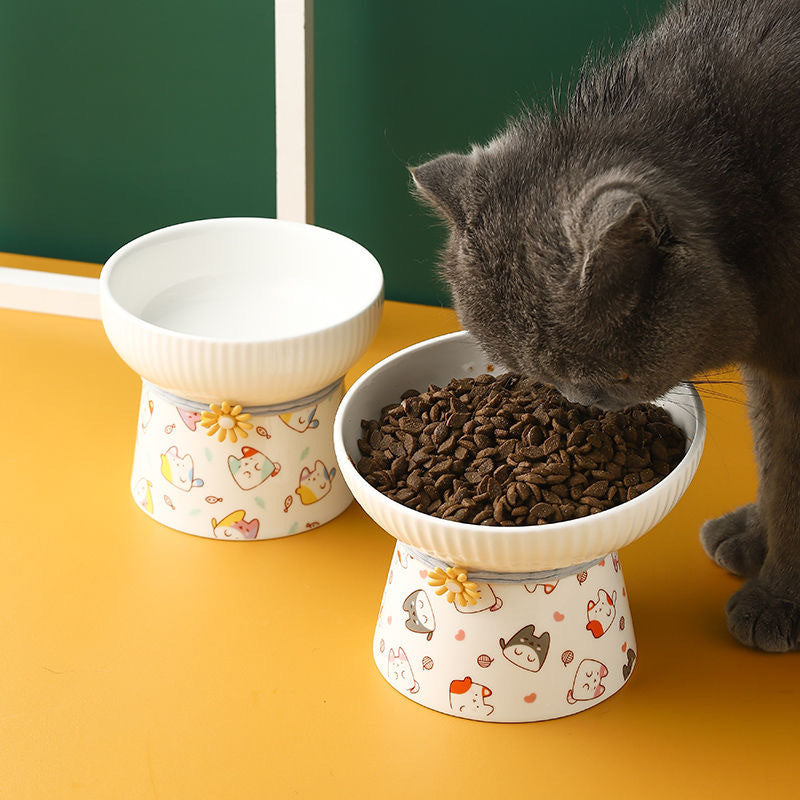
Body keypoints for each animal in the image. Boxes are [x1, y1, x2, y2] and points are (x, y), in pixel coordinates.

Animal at [412, 0, 800, 648]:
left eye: (611, 376)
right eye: (527, 373)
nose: (577, 403)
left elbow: (791, 475)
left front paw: (778, 598)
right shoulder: (770, 369)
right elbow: (774, 458)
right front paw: (759, 541)